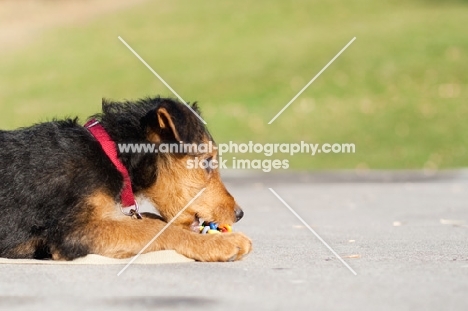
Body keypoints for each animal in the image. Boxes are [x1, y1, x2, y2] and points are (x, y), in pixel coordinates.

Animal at [0, 96, 252, 262]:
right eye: (207, 161)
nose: (239, 214)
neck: (112, 155)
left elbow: (151, 220)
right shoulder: (73, 232)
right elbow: (154, 229)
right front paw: (223, 244)